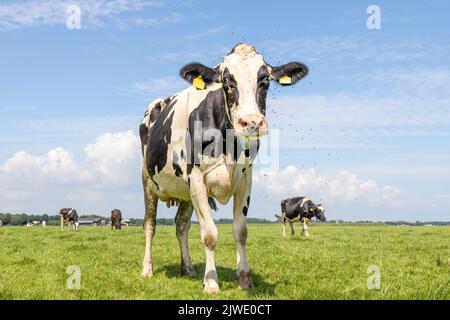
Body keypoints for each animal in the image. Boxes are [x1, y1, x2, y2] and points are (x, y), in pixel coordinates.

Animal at [140, 43, 310, 292]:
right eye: (227, 81)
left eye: (265, 81)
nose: (252, 122)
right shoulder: (196, 179)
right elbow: (209, 234)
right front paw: (211, 282)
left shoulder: (245, 179)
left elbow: (240, 231)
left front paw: (244, 279)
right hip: (148, 180)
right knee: (150, 224)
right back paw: (147, 269)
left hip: (185, 193)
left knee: (181, 226)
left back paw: (188, 269)